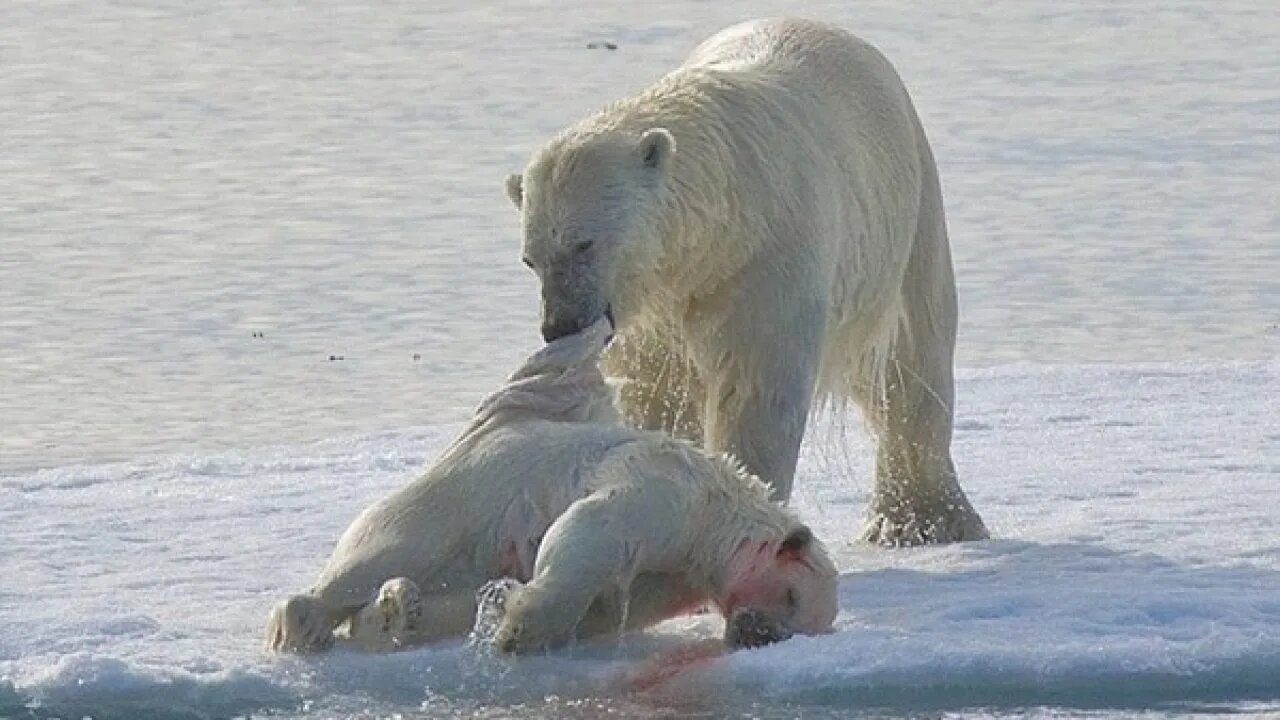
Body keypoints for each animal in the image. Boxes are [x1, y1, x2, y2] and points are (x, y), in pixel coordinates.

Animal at [263, 316, 839, 653]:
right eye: (792, 596)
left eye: (803, 623)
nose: (755, 636)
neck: (720, 511)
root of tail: (484, 428)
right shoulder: (667, 489)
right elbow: (593, 529)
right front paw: (518, 632)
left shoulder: (679, 577)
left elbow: (612, 607)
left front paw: (504, 614)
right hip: (453, 498)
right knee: (380, 554)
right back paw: (306, 626)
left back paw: (398, 612)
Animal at [506, 16, 988, 540]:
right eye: (531, 259)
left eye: (584, 243)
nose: (559, 325)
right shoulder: (657, 307)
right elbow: (654, 388)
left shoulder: (765, 257)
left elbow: (757, 389)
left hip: (906, 219)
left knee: (911, 363)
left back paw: (922, 521)